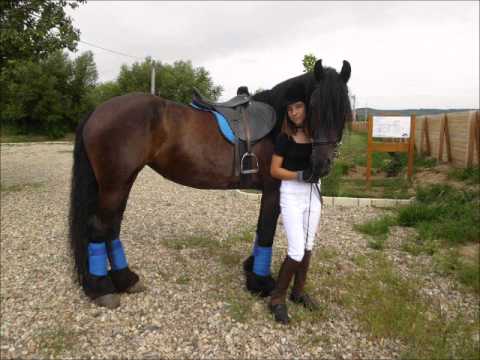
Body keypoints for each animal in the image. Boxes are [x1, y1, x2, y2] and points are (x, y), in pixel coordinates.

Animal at [68, 58, 352, 306]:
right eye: (314, 106)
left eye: (344, 110)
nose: (322, 165)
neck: (278, 126)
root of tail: (98, 111)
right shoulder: (273, 190)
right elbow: (266, 233)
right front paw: (260, 282)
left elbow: (260, 230)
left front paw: (251, 271)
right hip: (114, 183)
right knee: (99, 227)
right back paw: (102, 288)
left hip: (122, 181)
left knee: (112, 226)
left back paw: (125, 279)